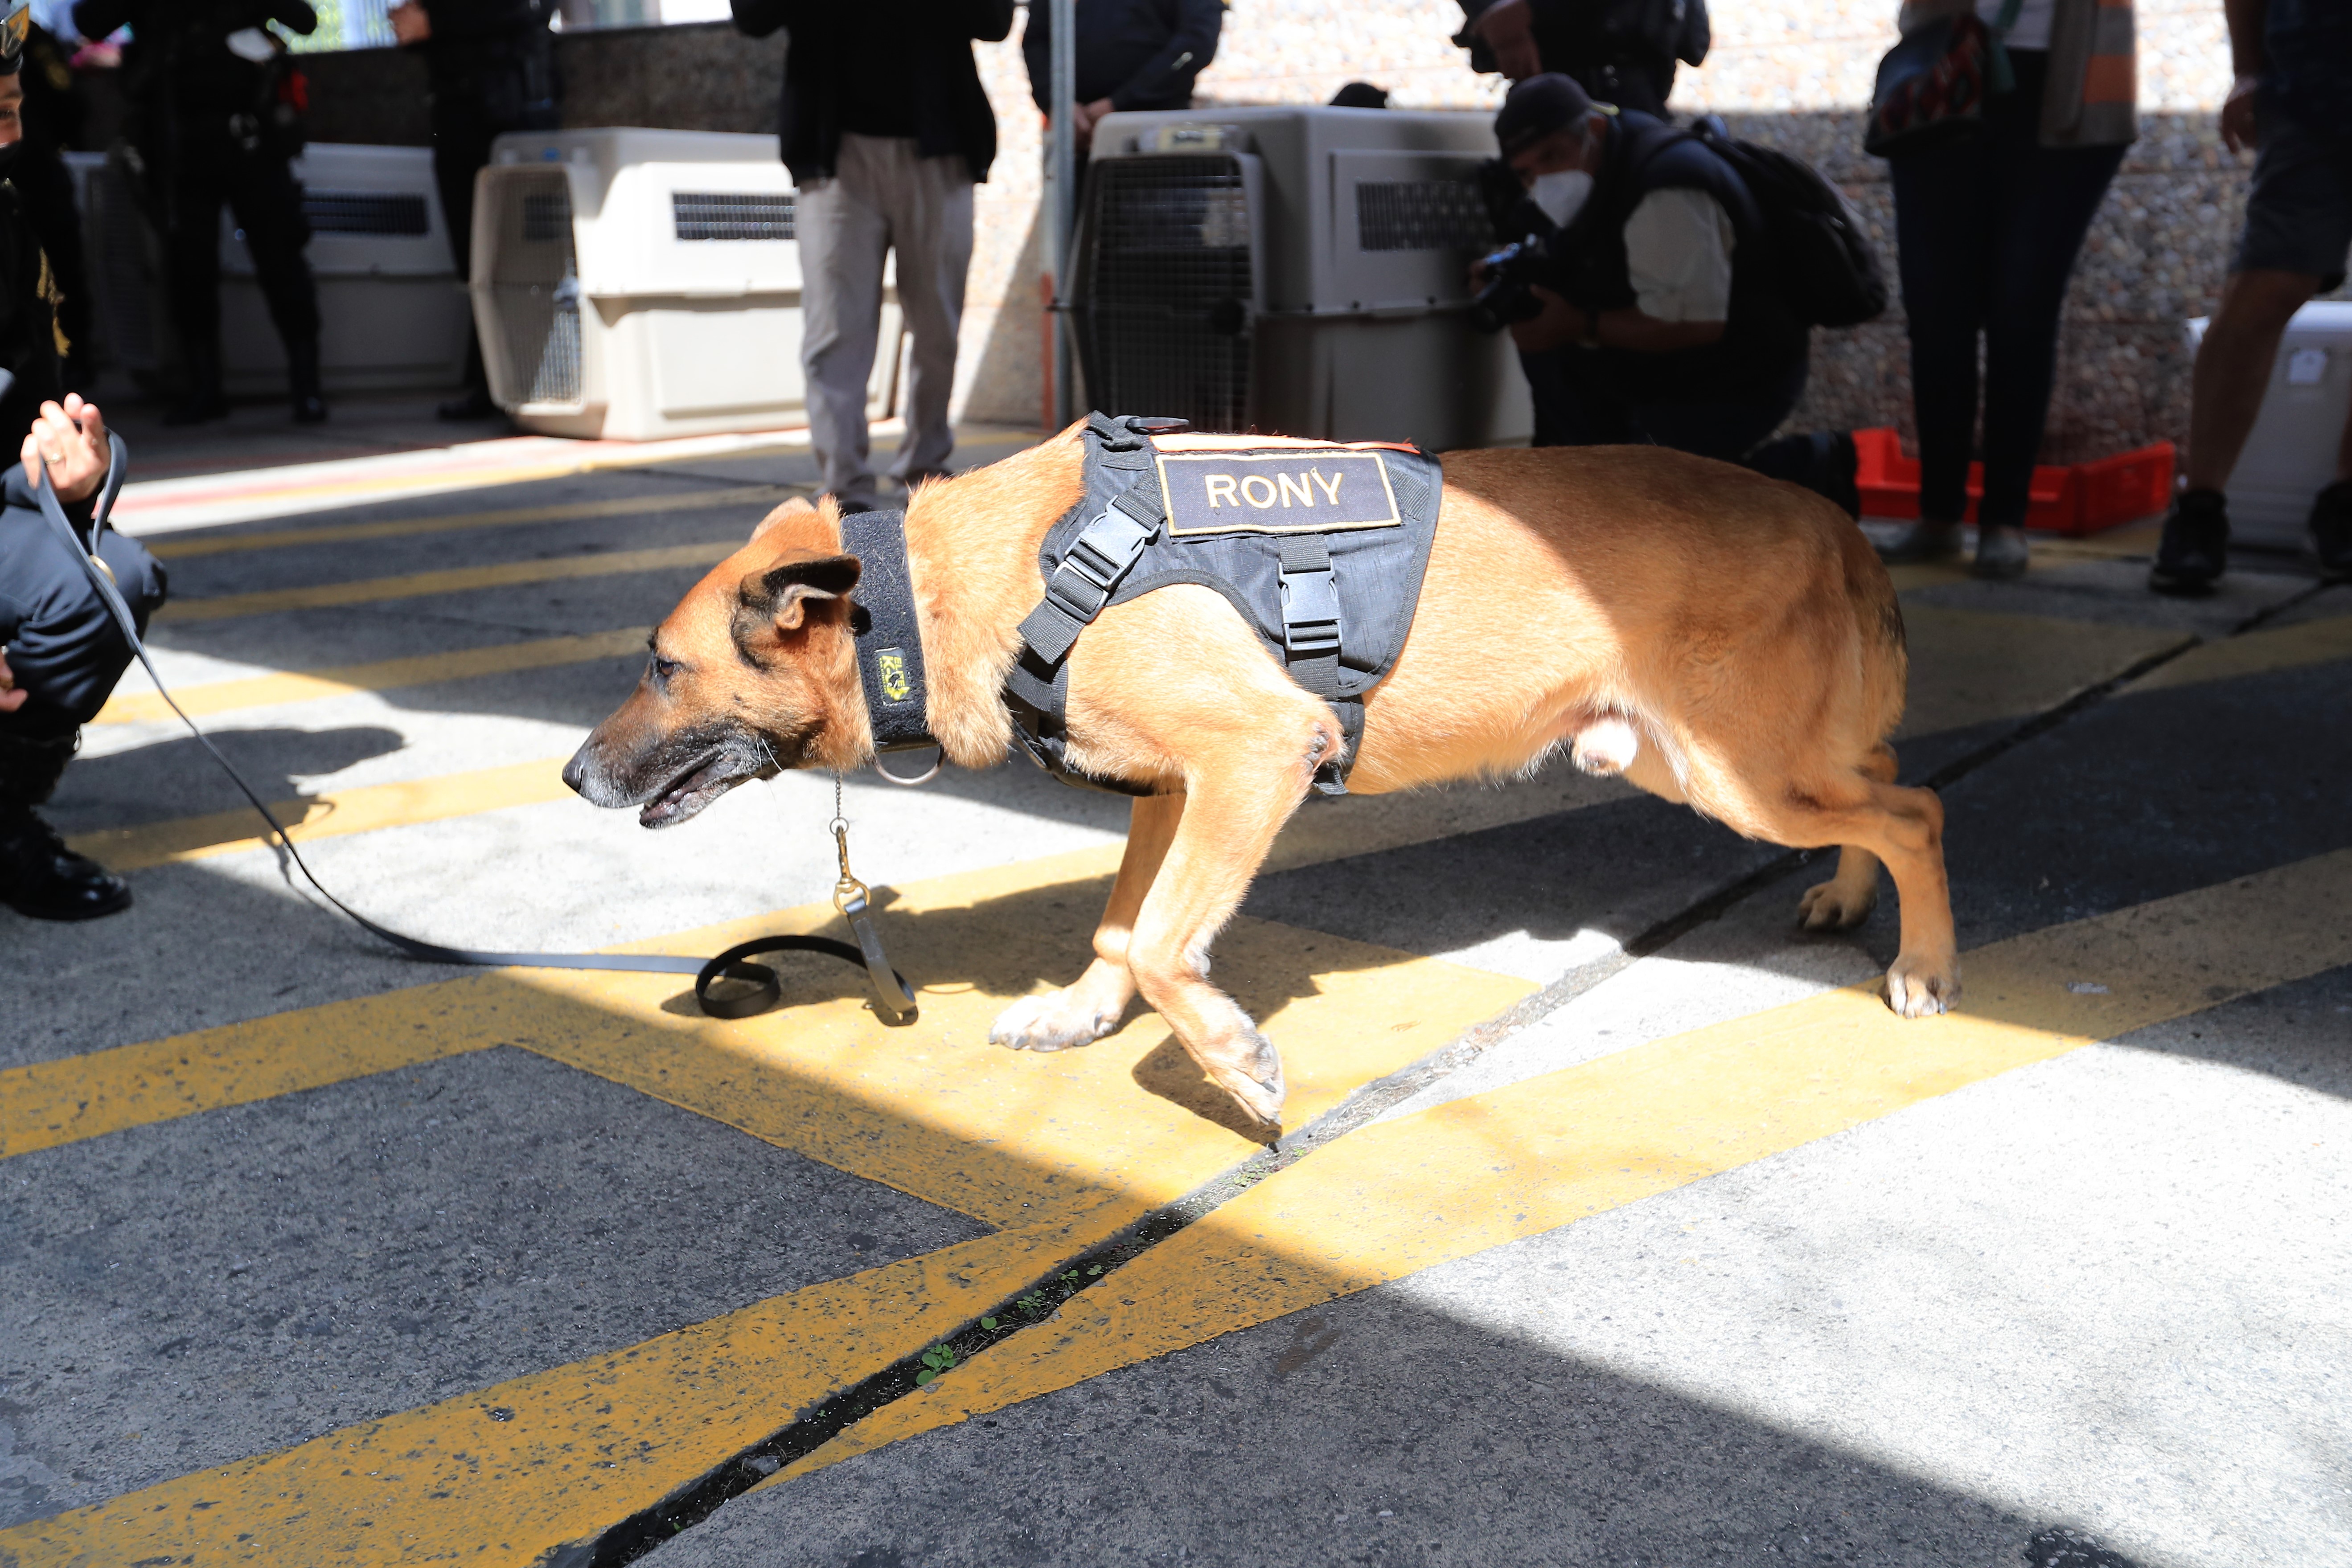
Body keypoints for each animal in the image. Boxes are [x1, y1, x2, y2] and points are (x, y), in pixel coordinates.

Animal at [564, 425, 1947, 1128]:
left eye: (662, 667)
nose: (573, 773)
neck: (958, 578)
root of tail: (1828, 514)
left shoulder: (1253, 759)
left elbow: (1165, 943)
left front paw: (1232, 1060)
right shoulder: (1174, 793)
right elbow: (1122, 931)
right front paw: (1082, 1014)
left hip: (1732, 772)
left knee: (1913, 805)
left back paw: (1923, 961)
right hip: (1700, 763)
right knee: (1874, 781)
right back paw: (1843, 896)